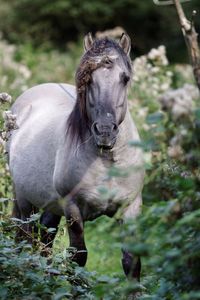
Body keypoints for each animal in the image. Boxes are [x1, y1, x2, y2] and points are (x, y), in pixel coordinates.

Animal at [7, 34, 145, 280]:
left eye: (125, 78)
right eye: (87, 80)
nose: (105, 131)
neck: (107, 161)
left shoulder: (131, 207)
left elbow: (131, 262)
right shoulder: (73, 208)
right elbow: (77, 258)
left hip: (51, 206)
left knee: (45, 239)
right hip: (24, 201)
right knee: (25, 237)